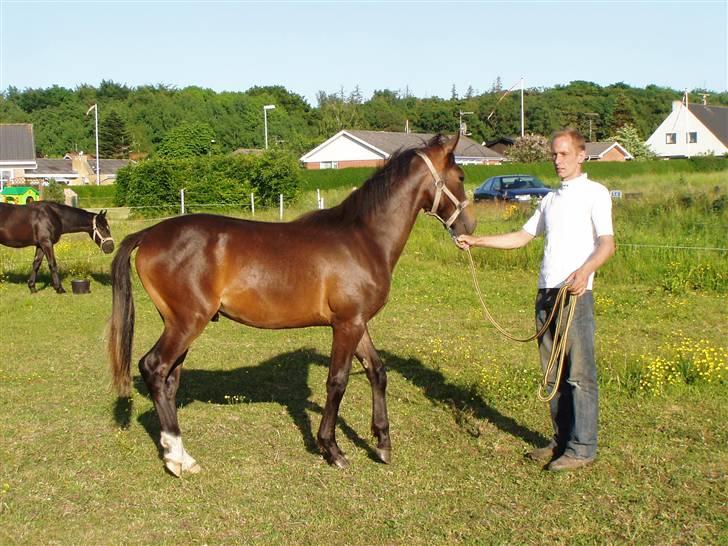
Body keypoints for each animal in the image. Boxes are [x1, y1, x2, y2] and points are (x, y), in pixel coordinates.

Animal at [105, 134, 474, 474]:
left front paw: (382, 444)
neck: (362, 239)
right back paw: (174, 458)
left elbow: (377, 372)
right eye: (460, 176)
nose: (469, 226)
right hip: (186, 323)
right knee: (154, 368)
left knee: (169, 381)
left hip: (179, 324)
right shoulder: (346, 325)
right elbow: (337, 381)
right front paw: (332, 449)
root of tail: (149, 234)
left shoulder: (357, 323)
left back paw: (182, 456)